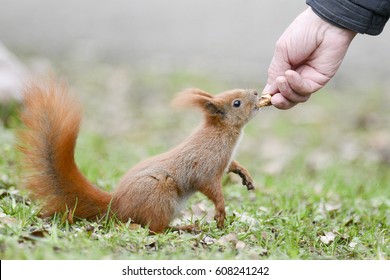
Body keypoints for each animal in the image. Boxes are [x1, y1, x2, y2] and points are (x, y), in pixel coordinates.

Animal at [18, 79, 262, 232]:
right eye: (236, 103)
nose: (256, 93)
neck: (220, 133)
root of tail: (117, 205)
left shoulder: (224, 161)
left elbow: (233, 165)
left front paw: (245, 175)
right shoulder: (205, 165)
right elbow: (210, 187)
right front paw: (220, 211)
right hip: (160, 196)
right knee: (155, 229)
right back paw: (184, 227)